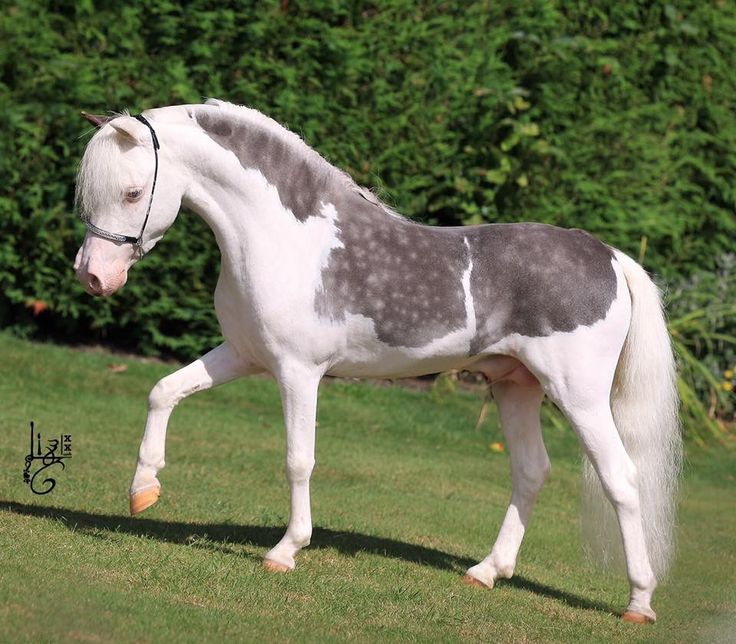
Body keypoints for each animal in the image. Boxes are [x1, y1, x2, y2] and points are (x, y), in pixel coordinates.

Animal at [73, 99, 680, 624]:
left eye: (132, 192)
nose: (94, 276)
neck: (283, 238)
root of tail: (609, 256)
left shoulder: (299, 373)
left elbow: (298, 459)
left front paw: (286, 550)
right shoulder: (244, 356)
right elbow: (163, 390)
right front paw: (142, 491)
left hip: (578, 395)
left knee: (621, 479)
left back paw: (639, 603)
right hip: (516, 386)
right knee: (531, 471)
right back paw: (485, 572)